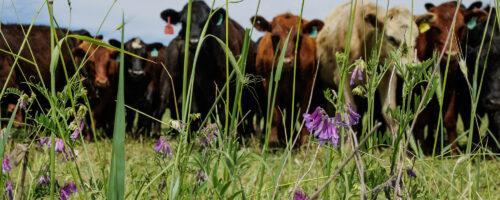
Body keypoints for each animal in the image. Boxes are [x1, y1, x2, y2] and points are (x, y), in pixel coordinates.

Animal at [250, 13, 324, 146]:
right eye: (275, 37)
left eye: (299, 37)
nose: (287, 62)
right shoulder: (270, 84)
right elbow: (275, 115)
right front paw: (272, 142)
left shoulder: (308, 86)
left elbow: (303, 115)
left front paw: (304, 142)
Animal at [318, 1, 420, 136]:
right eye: (390, 38)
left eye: (416, 37)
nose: (414, 65)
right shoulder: (341, 77)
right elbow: (348, 112)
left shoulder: (388, 76)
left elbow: (389, 113)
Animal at [414, 1, 488, 152]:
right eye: (436, 28)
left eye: (461, 28)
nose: (451, 54)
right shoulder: (419, 87)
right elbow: (421, 119)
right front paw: (421, 150)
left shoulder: (455, 87)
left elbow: (449, 119)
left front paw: (454, 149)